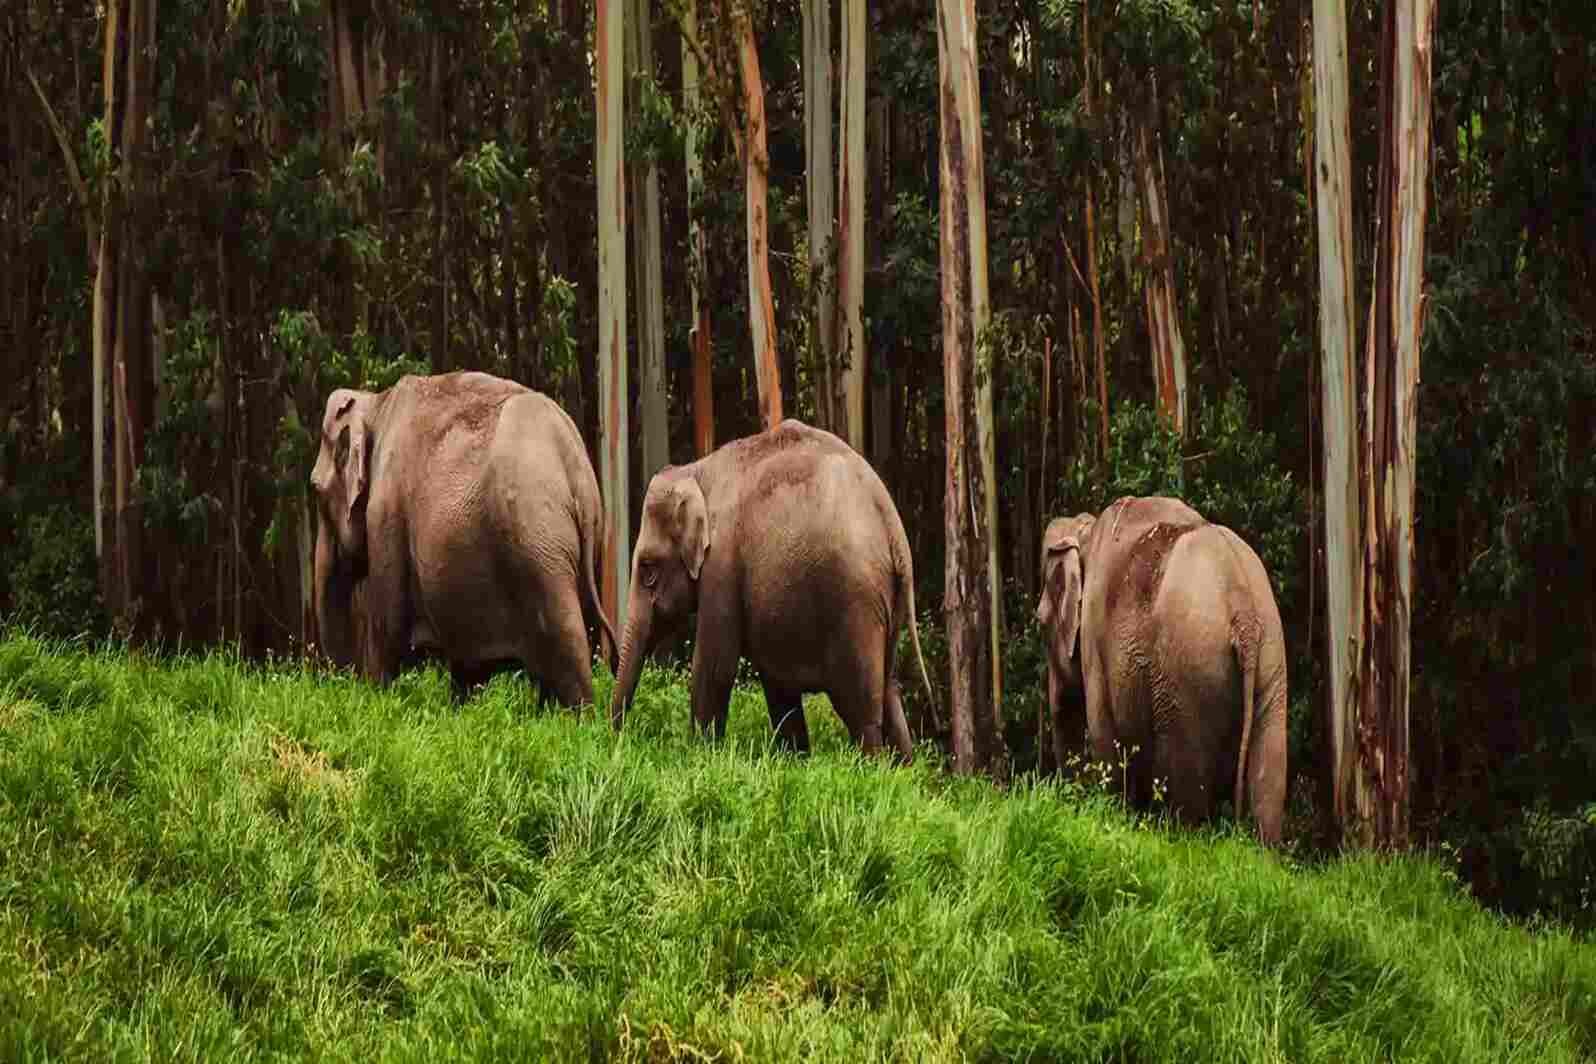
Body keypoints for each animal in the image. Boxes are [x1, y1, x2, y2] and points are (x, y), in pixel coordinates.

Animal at [309, 370, 616, 711]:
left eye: (314, 489)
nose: (341, 682)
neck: (377, 402)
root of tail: (574, 467)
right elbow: (467, 663)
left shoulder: (386, 515)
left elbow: (387, 632)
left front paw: (379, 698)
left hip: (539, 546)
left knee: (566, 645)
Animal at [606, 414, 932, 756]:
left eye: (648, 569)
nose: (618, 737)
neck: (696, 471)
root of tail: (891, 523)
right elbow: (778, 686)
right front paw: (794, 758)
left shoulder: (722, 564)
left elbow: (716, 666)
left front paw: (700, 754)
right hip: (886, 602)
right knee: (890, 694)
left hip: (856, 603)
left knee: (860, 709)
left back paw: (871, 763)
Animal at [1040, 497, 1289, 848]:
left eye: (1039, 623)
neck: (1086, 531)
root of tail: (1242, 607)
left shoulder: (1093, 639)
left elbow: (1104, 735)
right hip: (1271, 655)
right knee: (1269, 777)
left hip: (1188, 672)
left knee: (1188, 784)